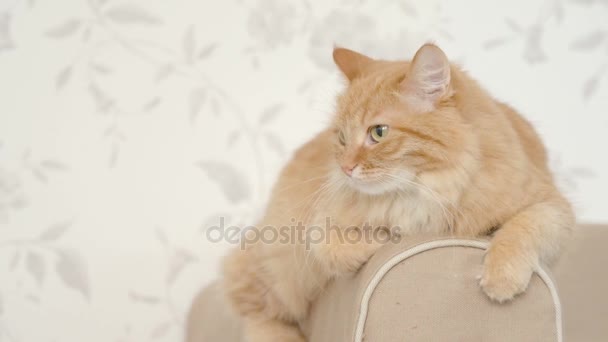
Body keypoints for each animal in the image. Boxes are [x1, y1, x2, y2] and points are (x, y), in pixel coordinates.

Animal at [221, 44, 572, 340]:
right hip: (278, 268)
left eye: (378, 132)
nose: (346, 168)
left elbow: (521, 228)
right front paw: (378, 239)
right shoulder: (320, 220)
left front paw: (501, 277)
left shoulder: (549, 203)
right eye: (342, 137)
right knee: (257, 312)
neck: (420, 192)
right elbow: (328, 245)